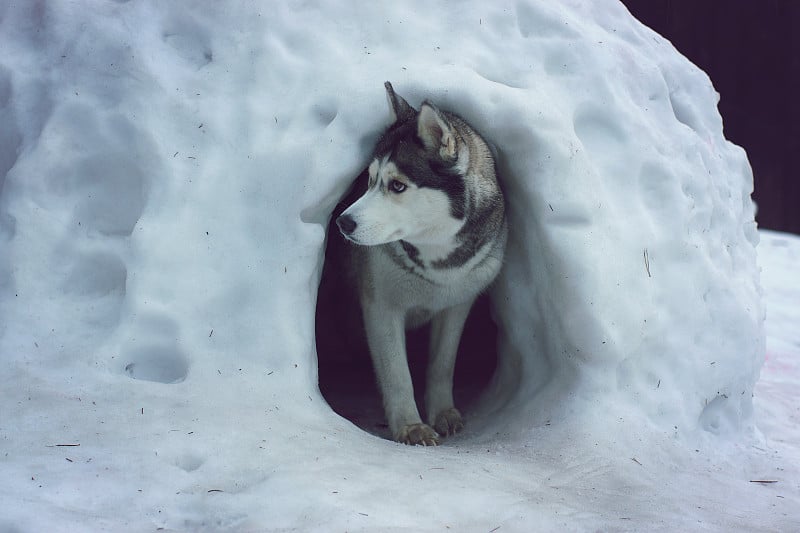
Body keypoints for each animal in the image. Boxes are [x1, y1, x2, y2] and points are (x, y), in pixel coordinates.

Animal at [336, 82, 510, 444]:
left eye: (397, 185)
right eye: (369, 180)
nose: (343, 222)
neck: (437, 262)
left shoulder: (458, 304)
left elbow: (442, 364)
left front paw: (443, 413)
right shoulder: (381, 306)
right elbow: (397, 373)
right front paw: (411, 427)